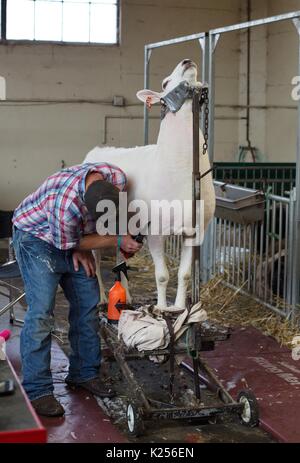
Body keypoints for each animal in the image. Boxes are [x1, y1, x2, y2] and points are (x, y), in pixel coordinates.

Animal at [84, 60, 216, 308]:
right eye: (165, 83)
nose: (187, 61)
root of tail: (95, 151)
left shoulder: (193, 231)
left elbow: (184, 274)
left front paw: (180, 308)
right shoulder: (154, 229)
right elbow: (162, 275)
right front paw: (162, 308)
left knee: (120, 257)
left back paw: (126, 296)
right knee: (96, 261)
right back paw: (102, 298)